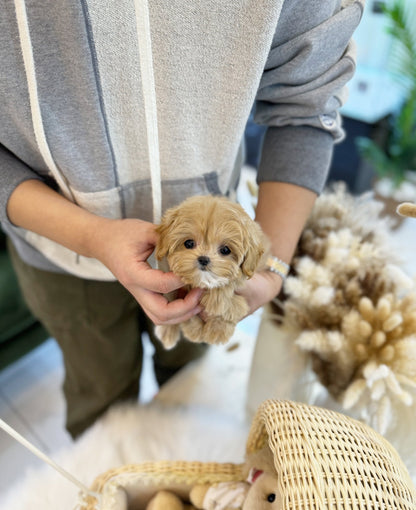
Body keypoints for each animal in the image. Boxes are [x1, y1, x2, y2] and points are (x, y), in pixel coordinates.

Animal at [154, 193, 266, 348]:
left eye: (225, 250)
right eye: (189, 243)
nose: (203, 259)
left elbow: (229, 302)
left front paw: (217, 327)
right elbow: (170, 299)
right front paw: (174, 329)